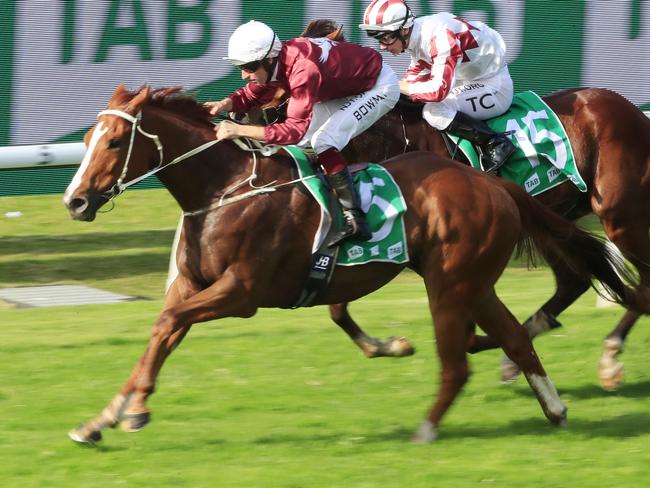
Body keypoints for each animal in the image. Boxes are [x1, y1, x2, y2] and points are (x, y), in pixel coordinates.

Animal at [62, 85, 648, 446]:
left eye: (115, 140)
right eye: (86, 139)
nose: (75, 200)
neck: (226, 189)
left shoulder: (241, 292)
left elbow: (166, 323)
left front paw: (132, 411)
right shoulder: (193, 286)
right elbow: (162, 333)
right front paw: (104, 418)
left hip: (602, 221)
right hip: (482, 272)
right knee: (533, 319)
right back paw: (549, 401)